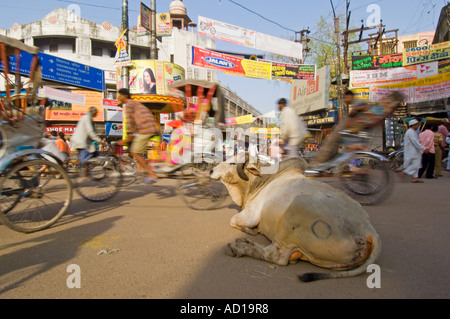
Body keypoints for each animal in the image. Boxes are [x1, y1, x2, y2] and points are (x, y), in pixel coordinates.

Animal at [210, 155, 380, 282]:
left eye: (232, 162)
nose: (211, 170)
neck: (260, 182)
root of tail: (367, 228)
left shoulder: (250, 215)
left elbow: (233, 220)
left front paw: (250, 230)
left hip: (298, 208)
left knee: (276, 256)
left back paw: (239, 247)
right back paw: (245, 241)